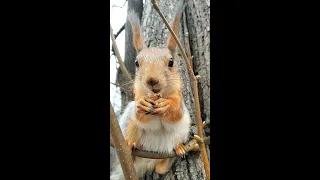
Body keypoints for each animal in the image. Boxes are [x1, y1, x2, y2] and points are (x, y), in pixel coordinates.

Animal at [110, 1, 190, 179]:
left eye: (171, 62)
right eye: (137, 63)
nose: (151, 80)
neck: (157, 95)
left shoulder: (179, 98)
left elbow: (176, 112)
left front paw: (167, 106)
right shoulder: (138, 95)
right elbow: (141, 114)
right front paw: (143, 104)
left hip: (181, 131)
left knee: (160, 168)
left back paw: (177, 151)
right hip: (129, 125)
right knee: (131, 153)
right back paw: (129, 145)